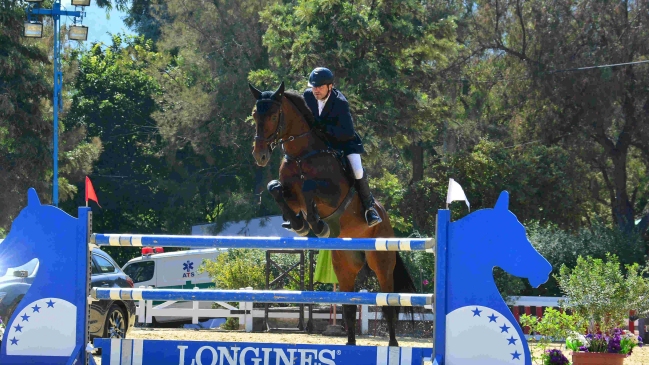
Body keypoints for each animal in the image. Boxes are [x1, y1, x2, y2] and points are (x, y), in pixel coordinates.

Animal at [248, 81, 416, 346]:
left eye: (274, 115)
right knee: (349, 306)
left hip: (381, 261)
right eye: (255, 115)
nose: (260, 155)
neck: (301, 154)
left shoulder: (334, 195)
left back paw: (393, 344)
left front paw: (317, 225)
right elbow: (275, 188)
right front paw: (299, 223)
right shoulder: (290, 195)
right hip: (344, 264)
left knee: (388, 303)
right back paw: (350, 344)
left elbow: (309, 187)